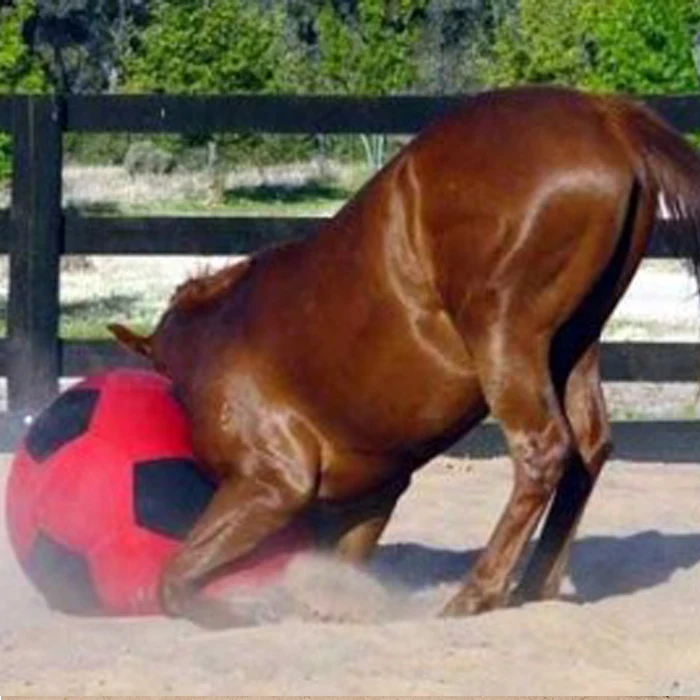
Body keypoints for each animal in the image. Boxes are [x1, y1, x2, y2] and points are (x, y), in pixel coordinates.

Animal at [110, 85, 700, 627]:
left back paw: (474, 594)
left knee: (544, 451)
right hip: (576, 341)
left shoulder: (272, 484)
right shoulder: (372, 496)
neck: (213, 342)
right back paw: (533, 587)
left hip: (507, 337)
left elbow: (174, 579)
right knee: (589, 449)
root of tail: (601, 114)